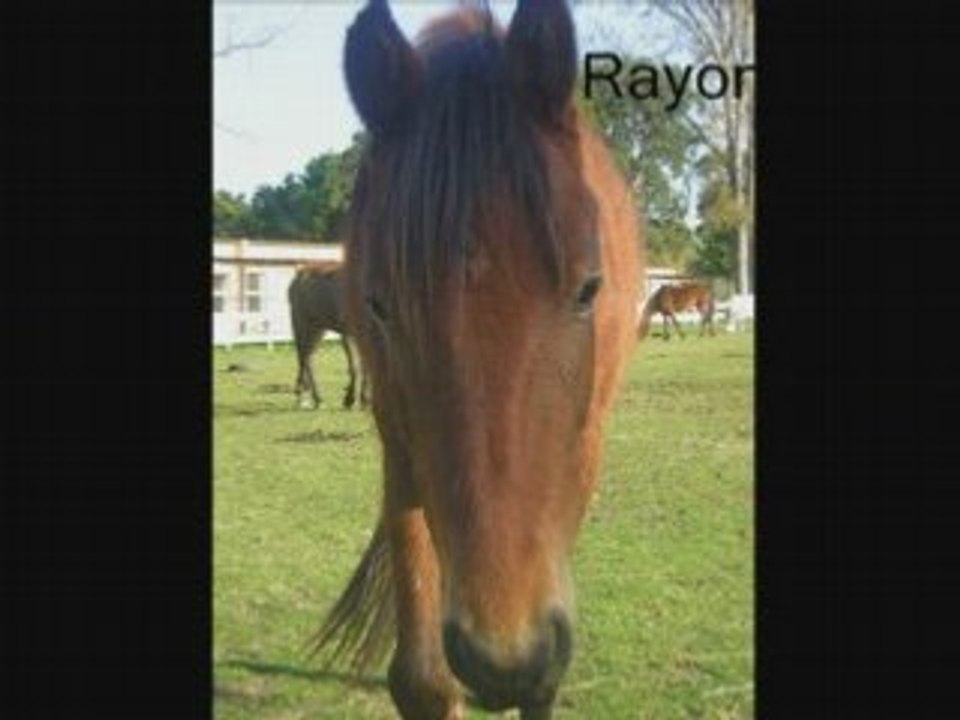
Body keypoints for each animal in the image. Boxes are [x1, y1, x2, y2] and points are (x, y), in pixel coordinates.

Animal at [288, 262, 368, 410]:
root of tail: (299, 273)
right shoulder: (348, 334)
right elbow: (354, 366)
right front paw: (350, 399)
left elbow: (365, 367)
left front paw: (364, 400)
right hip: (301, 323)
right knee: (304, 358)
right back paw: (312, 398)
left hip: (317, 328)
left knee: (307, 357)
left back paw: (309, 396)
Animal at [311, 2, 644, 718]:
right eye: (379, 306)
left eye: (589, 289)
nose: (503, 658)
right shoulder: (399, 441)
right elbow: (421, 677)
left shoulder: (581, 450)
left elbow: (545, 681)